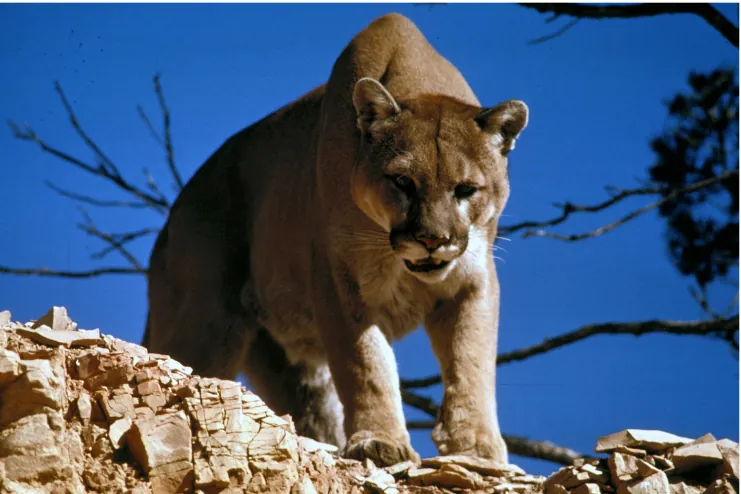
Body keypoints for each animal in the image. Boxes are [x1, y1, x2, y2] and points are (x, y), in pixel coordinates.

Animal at [144, 13, 528, 467]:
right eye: (403, 182)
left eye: (466, 189)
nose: (433, 240)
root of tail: (172, 217)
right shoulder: (339, 281)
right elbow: (366, 364)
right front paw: (380, 441)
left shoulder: (472, 280)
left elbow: (471, 362)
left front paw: (476, 447)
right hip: (206, 321)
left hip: (288, 363)